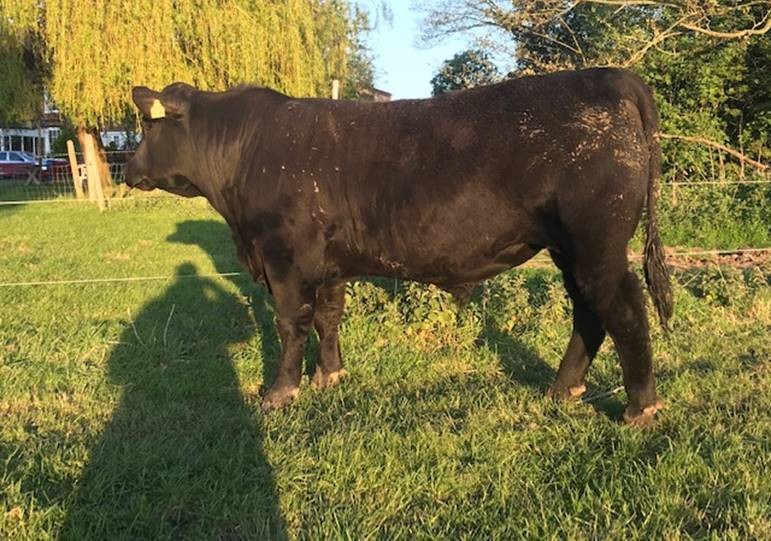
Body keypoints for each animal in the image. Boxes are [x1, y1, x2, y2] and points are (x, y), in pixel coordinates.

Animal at [126, 67, 674, 425]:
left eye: (148, 125)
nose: (129, 169)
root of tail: (606, 76)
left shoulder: (283, 257)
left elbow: (290, 324)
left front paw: (280, 393)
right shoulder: (328, 264)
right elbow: (327, 317)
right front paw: (330, 375)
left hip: (597, 244)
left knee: (624, 308)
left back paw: (640, 408)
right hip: (569, 248)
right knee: (588, 312)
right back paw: (562, 389)